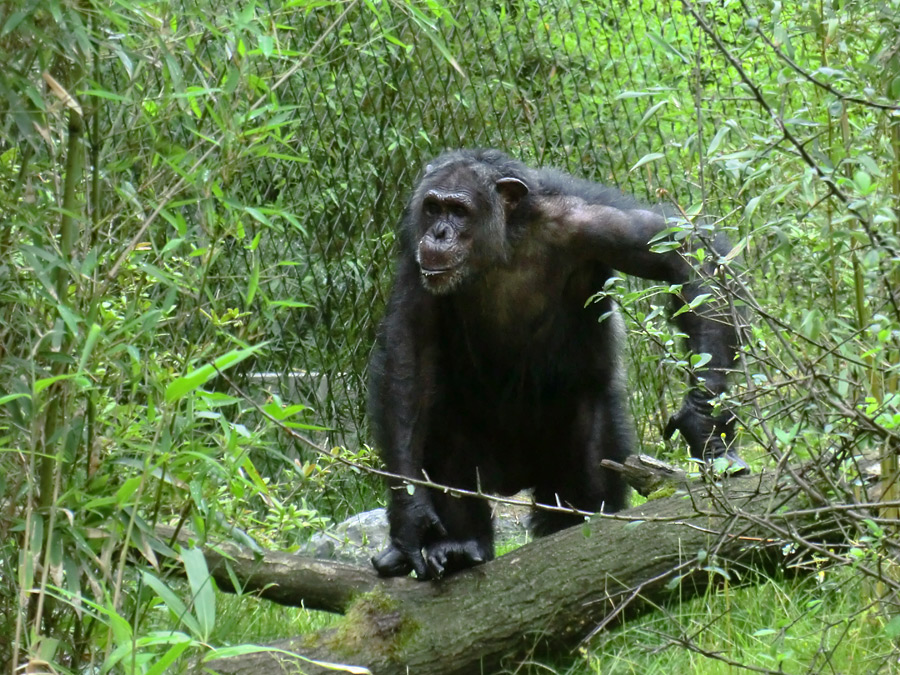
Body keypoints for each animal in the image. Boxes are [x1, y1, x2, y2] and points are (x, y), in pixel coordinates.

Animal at [366, 149, 744, 580]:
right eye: (432, 208)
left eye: (459, 211)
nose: (439, 233)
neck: (504, 244)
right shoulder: (414, 249)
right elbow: (408, 352)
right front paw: (410, 516)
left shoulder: (594, 221)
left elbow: (683, 256)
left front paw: (704, 420)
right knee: (444, 435)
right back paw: (461, 547)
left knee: (587, 478)